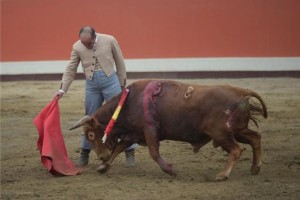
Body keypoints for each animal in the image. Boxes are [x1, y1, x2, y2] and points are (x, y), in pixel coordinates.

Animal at [69, 79, 268, 181]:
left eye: (91, 134)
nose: (101, 156)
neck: (129, 102)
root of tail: (241, 92)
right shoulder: (133, 134)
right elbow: (118, 148)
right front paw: (104, 166)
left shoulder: (150, 130)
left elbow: (154, 153)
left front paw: (171, 171)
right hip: (238, 130)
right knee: (255, 138)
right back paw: (255, 168)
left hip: (221, 134)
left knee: (237, 149)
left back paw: (223, 174)